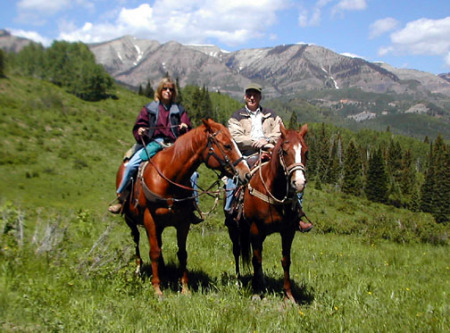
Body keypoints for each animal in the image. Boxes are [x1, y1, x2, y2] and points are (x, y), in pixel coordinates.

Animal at [116, 118, 251, 294]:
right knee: (136, 239)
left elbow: (182, 253)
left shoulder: (183, 222)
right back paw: (139, 269)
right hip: (130, 219)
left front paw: (185, 289)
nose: (246, 174)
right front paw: (157, 289)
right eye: (227, 145)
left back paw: (163, 270)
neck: (168, 177)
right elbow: (153, 252)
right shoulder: (149, 219)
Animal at [225, 123, 310, 302]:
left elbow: (286, 260)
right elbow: (256, 260)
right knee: (237, 252)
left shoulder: (288, 231)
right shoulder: (255, 229)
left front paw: (289, 295)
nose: (299, 183)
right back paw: (238, 281)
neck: (274, 191)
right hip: (234, 229)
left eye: (306, 152)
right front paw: (257, 292)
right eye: (285, 151)